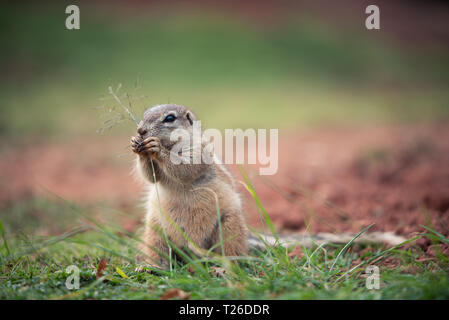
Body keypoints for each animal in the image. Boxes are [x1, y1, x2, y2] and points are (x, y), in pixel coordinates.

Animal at [131, 104, 247, 268]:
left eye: (170, 118)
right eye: (145, 114)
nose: (140, 130)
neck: (171, 146)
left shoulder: (199, 150)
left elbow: (185, 168)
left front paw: (156, 147)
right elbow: (151, 176)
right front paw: (136, 144)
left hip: (229, 227)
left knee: (232, 253)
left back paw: (223, 269)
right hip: (155, 231)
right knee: (158, 253)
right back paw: (151, 267)